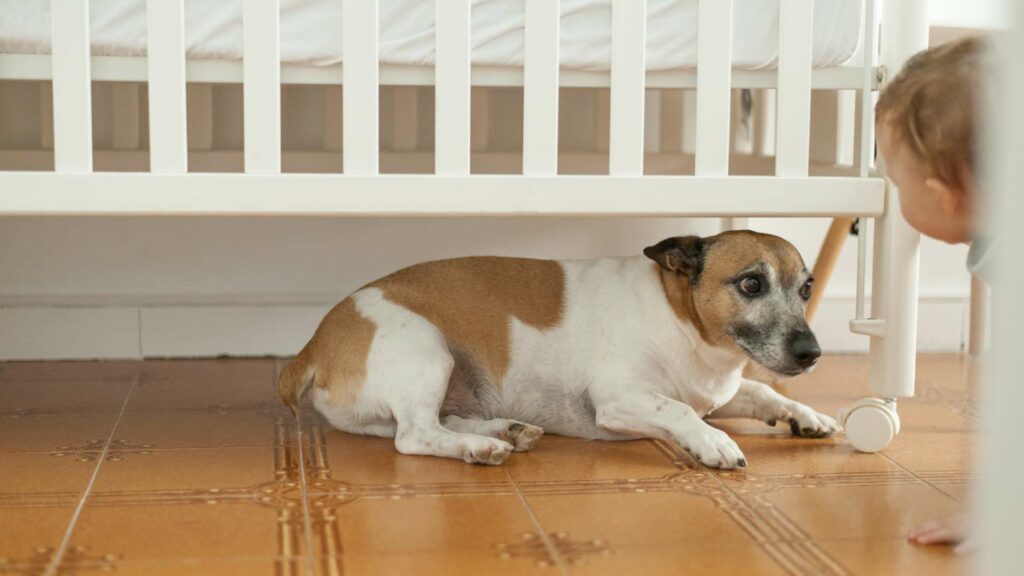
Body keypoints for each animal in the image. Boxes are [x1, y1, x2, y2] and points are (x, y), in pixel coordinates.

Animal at [278, 228, 839, 467]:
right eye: (751, 284)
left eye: (807, 289)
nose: (812, 353)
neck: (680, 318)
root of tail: (313, 345)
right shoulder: (620, 399)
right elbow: (679, 411)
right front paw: (713, 442)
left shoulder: (718, 392)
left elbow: (763, 394)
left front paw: (805, 415)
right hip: (428, 352)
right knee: (414, 437)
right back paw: (480, 447)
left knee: (435, 423)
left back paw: (502, 430)